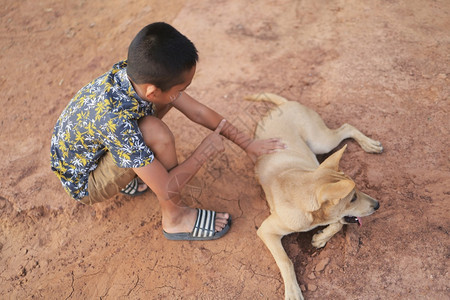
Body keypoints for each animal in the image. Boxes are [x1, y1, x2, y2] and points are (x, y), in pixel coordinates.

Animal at [246, 94, 384, 300]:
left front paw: (320, 238)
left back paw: (369, 144)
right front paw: (293, 291)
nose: (377, 205)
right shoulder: (266, 230)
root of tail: (285, 104)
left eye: (358, 190)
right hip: (321, 142)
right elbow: (286, 260)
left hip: (321, 141)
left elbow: (338, 223)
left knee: (346, 127)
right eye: (352, 198)